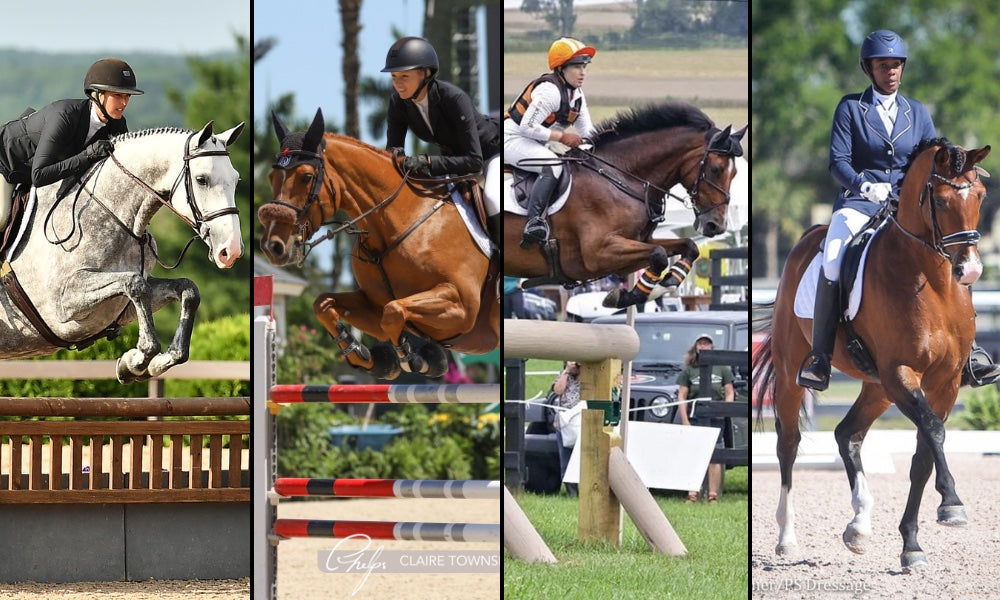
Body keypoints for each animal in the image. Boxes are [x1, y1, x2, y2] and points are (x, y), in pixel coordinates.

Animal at [0, 121, 245, 383]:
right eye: (201, 179)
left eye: (236, 180)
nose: (230, 250)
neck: (111, 212)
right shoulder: (62, 304)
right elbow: (135, 284)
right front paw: (137, 360)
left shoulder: (121, 307)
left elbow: (188, 290)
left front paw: (154, 362)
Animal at [258, 109, 499, 380]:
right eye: (272, 177)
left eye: (306, 177)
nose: (272, 246)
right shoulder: (373, 306)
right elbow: (324, 304)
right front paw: (373, 359)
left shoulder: (462, 308)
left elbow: (393, 311)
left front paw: (416, 359)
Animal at [503, 102, 746, 308]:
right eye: (716, 169)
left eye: (734, 173)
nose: (716, 225)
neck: (621, 177)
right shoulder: (599, 253)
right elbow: (658, 255)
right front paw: (631, 296)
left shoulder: (636, 245)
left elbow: (688, 246)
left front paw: (664, 285)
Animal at [754, 138, 991, 570]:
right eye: (941, 199)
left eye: (980, 195)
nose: (970, 270)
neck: (931, 283)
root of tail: (806, 239)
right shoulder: (901, 373)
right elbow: (934, 432)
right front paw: (952, 505)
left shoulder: (945, 382)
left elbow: (923, 456)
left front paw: (911, 545)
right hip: (795, 372)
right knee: (789, 444)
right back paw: (787, 538)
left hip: (876, 387)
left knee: (847, 434)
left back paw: (859, 526)